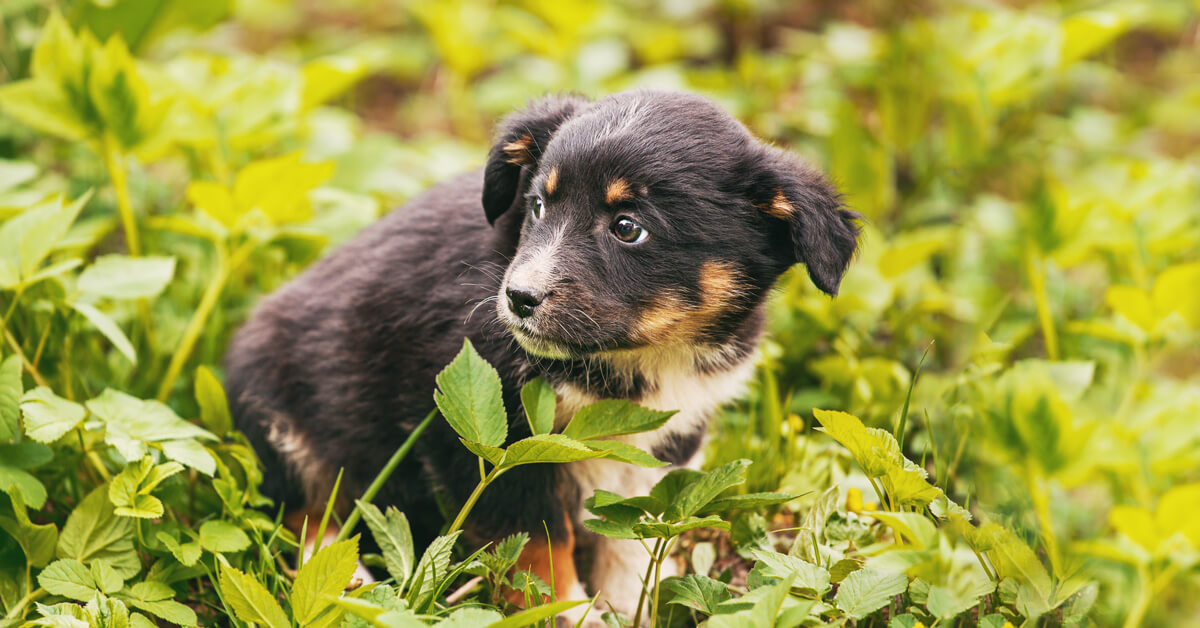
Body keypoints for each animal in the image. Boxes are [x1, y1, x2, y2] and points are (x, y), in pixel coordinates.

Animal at [226, 87, 864, 619]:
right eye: (536, 206)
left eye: (627, 227)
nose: (518, 298)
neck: (637, 360)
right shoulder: (490, 447)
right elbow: (538, 546)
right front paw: (565, 613)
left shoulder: (667, 434)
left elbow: (637, 534)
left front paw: (630, 607)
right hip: (279, 414)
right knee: (307, 515)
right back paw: (348, 586)